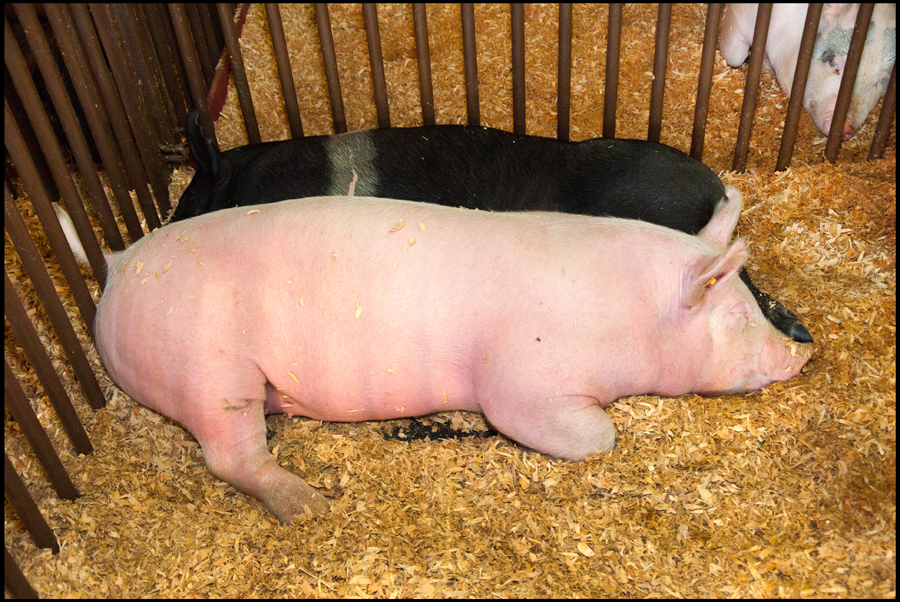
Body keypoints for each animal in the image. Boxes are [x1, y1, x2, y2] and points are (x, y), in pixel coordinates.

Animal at [56, 188, 813, 523]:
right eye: (737, 316)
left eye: (754, 301)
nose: (799, 357)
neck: (627, 312)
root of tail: (118, 264)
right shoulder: (524, 382)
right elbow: (593, 436)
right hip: (210, 368)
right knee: (227, 454)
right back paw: (310, 506)